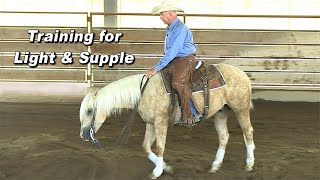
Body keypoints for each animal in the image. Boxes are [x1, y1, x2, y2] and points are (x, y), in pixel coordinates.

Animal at [79, 63, 255, 179]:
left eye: (89, 111)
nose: (83, 135)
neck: (144, 92)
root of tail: (241, 73)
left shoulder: (160, 122)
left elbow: (160, 146)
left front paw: (156, 172)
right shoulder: (151, 123)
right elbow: (146, 147)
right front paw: (166, 168)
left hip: (241, 108)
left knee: (248, 132)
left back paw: (249, 164)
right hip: (221, 113)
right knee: (224, 136)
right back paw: (215, 166)